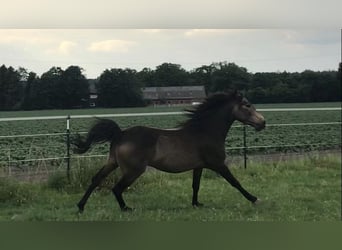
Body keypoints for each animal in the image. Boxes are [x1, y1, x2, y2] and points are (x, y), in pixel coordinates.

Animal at [74, 91, 268, 212]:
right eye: (247, 105)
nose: (263, 123)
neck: (205, 131)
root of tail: (120, 134)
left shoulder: (199, 166)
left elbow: (196, 185)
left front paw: (196, 204)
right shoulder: (218, 164)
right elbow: (235, 182)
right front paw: (255, 199)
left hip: (112, 162)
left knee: (96, 179)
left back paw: (81, 207)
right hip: (133, 170)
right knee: (117, 188)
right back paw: (126, 209)